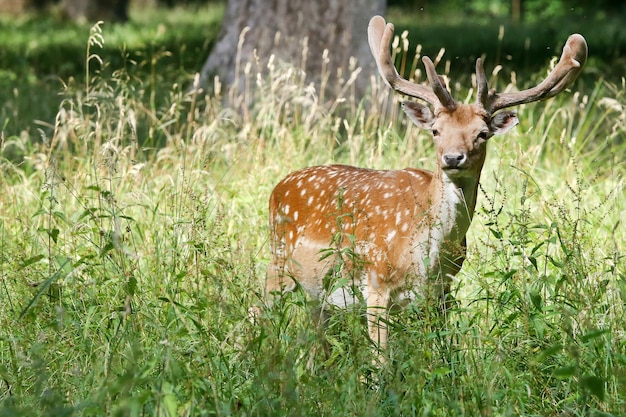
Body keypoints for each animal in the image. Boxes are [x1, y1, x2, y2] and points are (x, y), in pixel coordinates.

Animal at [264, 15, 584, 348]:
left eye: (482, 134)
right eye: (435, 130)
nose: (453, 158)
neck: (426, 257)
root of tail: (279, 186)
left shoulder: (442, 292)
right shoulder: (376, 283)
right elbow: (382, 356)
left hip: (317, 295)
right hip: (277, 262)